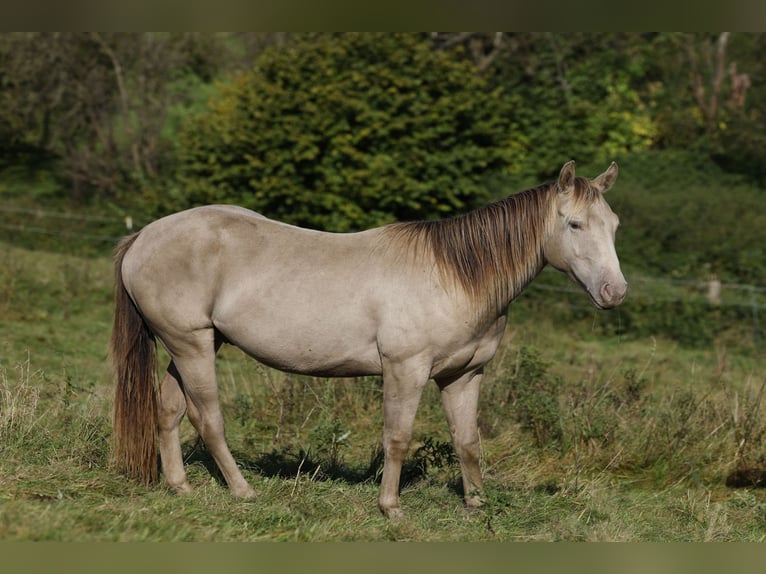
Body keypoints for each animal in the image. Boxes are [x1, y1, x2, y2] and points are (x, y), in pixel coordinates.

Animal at [112, 160, 632, 520]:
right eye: (574, 224)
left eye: (614, 226)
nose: (615, 292)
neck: (454, 276)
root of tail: (144, 237)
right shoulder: (405, 370)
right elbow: (397, 437)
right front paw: (391, 508)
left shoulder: (464, 376)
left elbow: (467, 440)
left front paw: (478, 505)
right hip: (192, 344)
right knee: (208, 418)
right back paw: (242, 490)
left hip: (194, 344)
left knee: (169, 409)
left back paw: (179, 486)